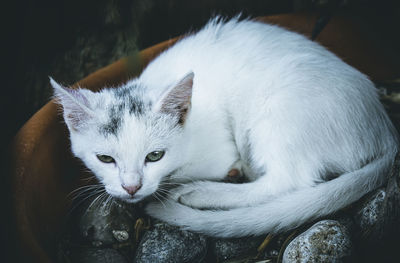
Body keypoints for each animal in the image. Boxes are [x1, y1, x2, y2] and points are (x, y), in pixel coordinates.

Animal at [51, 17, 398, 239]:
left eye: (155, 156)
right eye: (105, 159)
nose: (131, 187)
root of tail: (384, 128)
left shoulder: (217, 152)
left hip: (276, 109)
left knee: (287, 182)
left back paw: (204, 191)